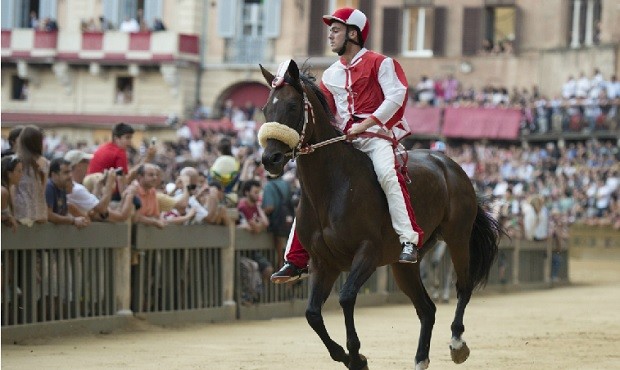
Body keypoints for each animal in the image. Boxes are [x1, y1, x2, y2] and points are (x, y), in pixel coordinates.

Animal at [260, 59, 502, 368]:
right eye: (266, 108)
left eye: (292, 106)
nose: (270, 159)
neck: (333, 187)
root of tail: (449, 164)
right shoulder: (323, 263)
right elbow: (312, 313)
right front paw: (347, 356)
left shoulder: (368, 252)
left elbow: (346, 297)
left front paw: (356, 354)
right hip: (403, 265)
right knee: (427, 309)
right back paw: (420, 358)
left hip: (458, 237)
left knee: (463, 286)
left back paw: (457, 342)